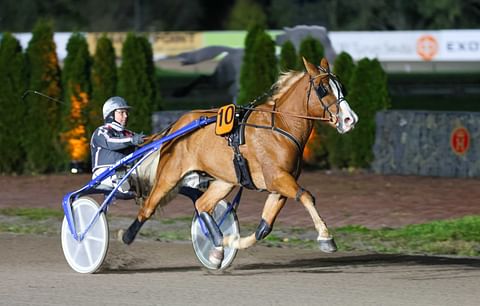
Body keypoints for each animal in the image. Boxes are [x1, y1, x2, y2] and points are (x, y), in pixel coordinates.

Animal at [122, 58, 358, 268]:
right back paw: (125, 236)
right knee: (148, 208)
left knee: (202, 205)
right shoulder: (277, 178)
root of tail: (176, 126)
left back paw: (217, 246)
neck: (280, 126)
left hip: (224, 181)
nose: (350, 119)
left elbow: (264, 228)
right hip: (169, 176)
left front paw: (230, 241)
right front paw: (326, 238)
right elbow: (307, 196)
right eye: (322, 89)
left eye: (342, 87)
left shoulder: (279, 187)